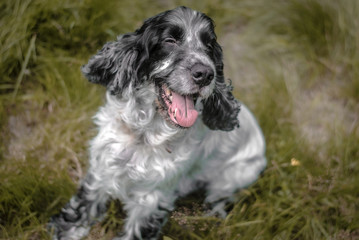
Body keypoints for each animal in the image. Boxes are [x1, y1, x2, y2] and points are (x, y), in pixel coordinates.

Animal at [47, 6, 268, 240]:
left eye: (209, 46)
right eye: (170, 40)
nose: (206, 74)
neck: (143, 134)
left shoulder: (151, 199)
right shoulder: (103, 167)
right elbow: (83, 204)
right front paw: (64, 231)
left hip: (234, 175)